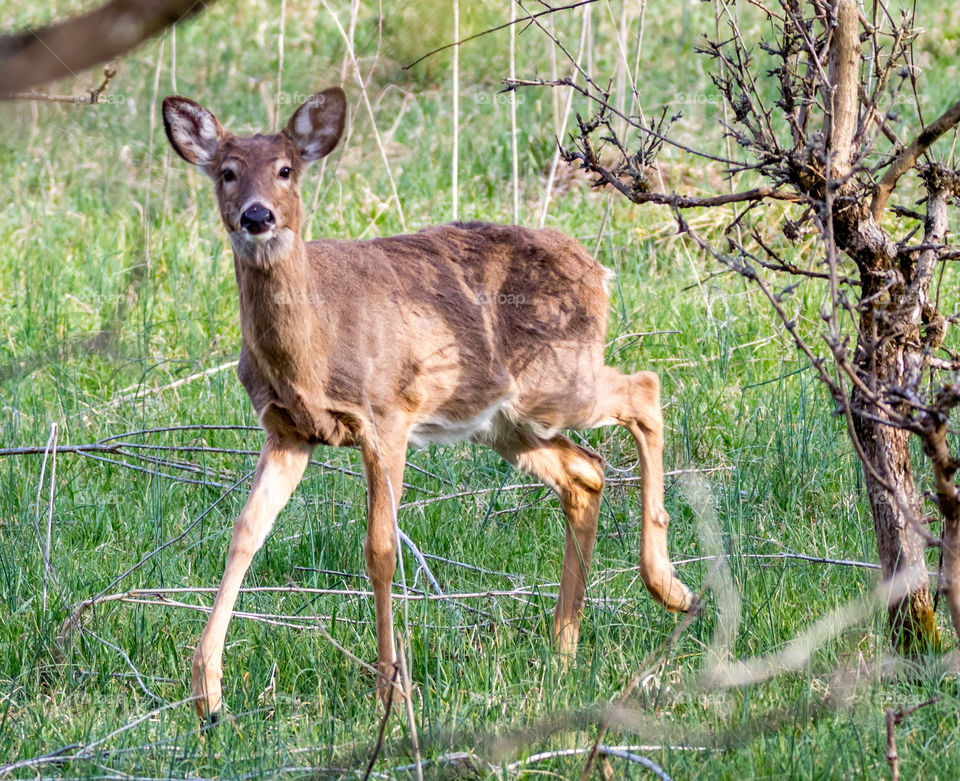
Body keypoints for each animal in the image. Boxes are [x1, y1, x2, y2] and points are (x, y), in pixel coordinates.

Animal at [161, 85, 692, 720]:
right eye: (227, 172)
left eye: (287, 170)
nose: (257, 215)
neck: (313, 348)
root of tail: (598, 269)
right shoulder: (287, 431)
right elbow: (244, 534)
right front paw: (206, 691)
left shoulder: (387, 414)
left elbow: (380, 549)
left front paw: (391, 688)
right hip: (502, 420)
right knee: (585, 471)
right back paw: (563, 649)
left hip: (557, 383)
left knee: (646, 389)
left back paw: (669, 588)